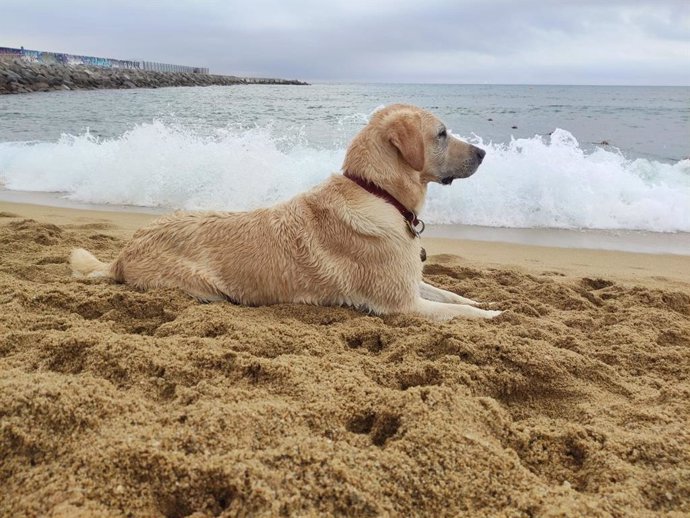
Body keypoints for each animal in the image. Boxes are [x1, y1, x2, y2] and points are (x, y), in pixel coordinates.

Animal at [70, 104, 500, 320]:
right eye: (442, 134)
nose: (483, 153)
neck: (377, 193)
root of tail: (123, 253)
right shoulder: (403, 303)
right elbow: (461, 317)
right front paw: (494, 318)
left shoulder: (410, 281)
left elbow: (452, 295)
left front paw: (482, 302)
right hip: (203, 288)